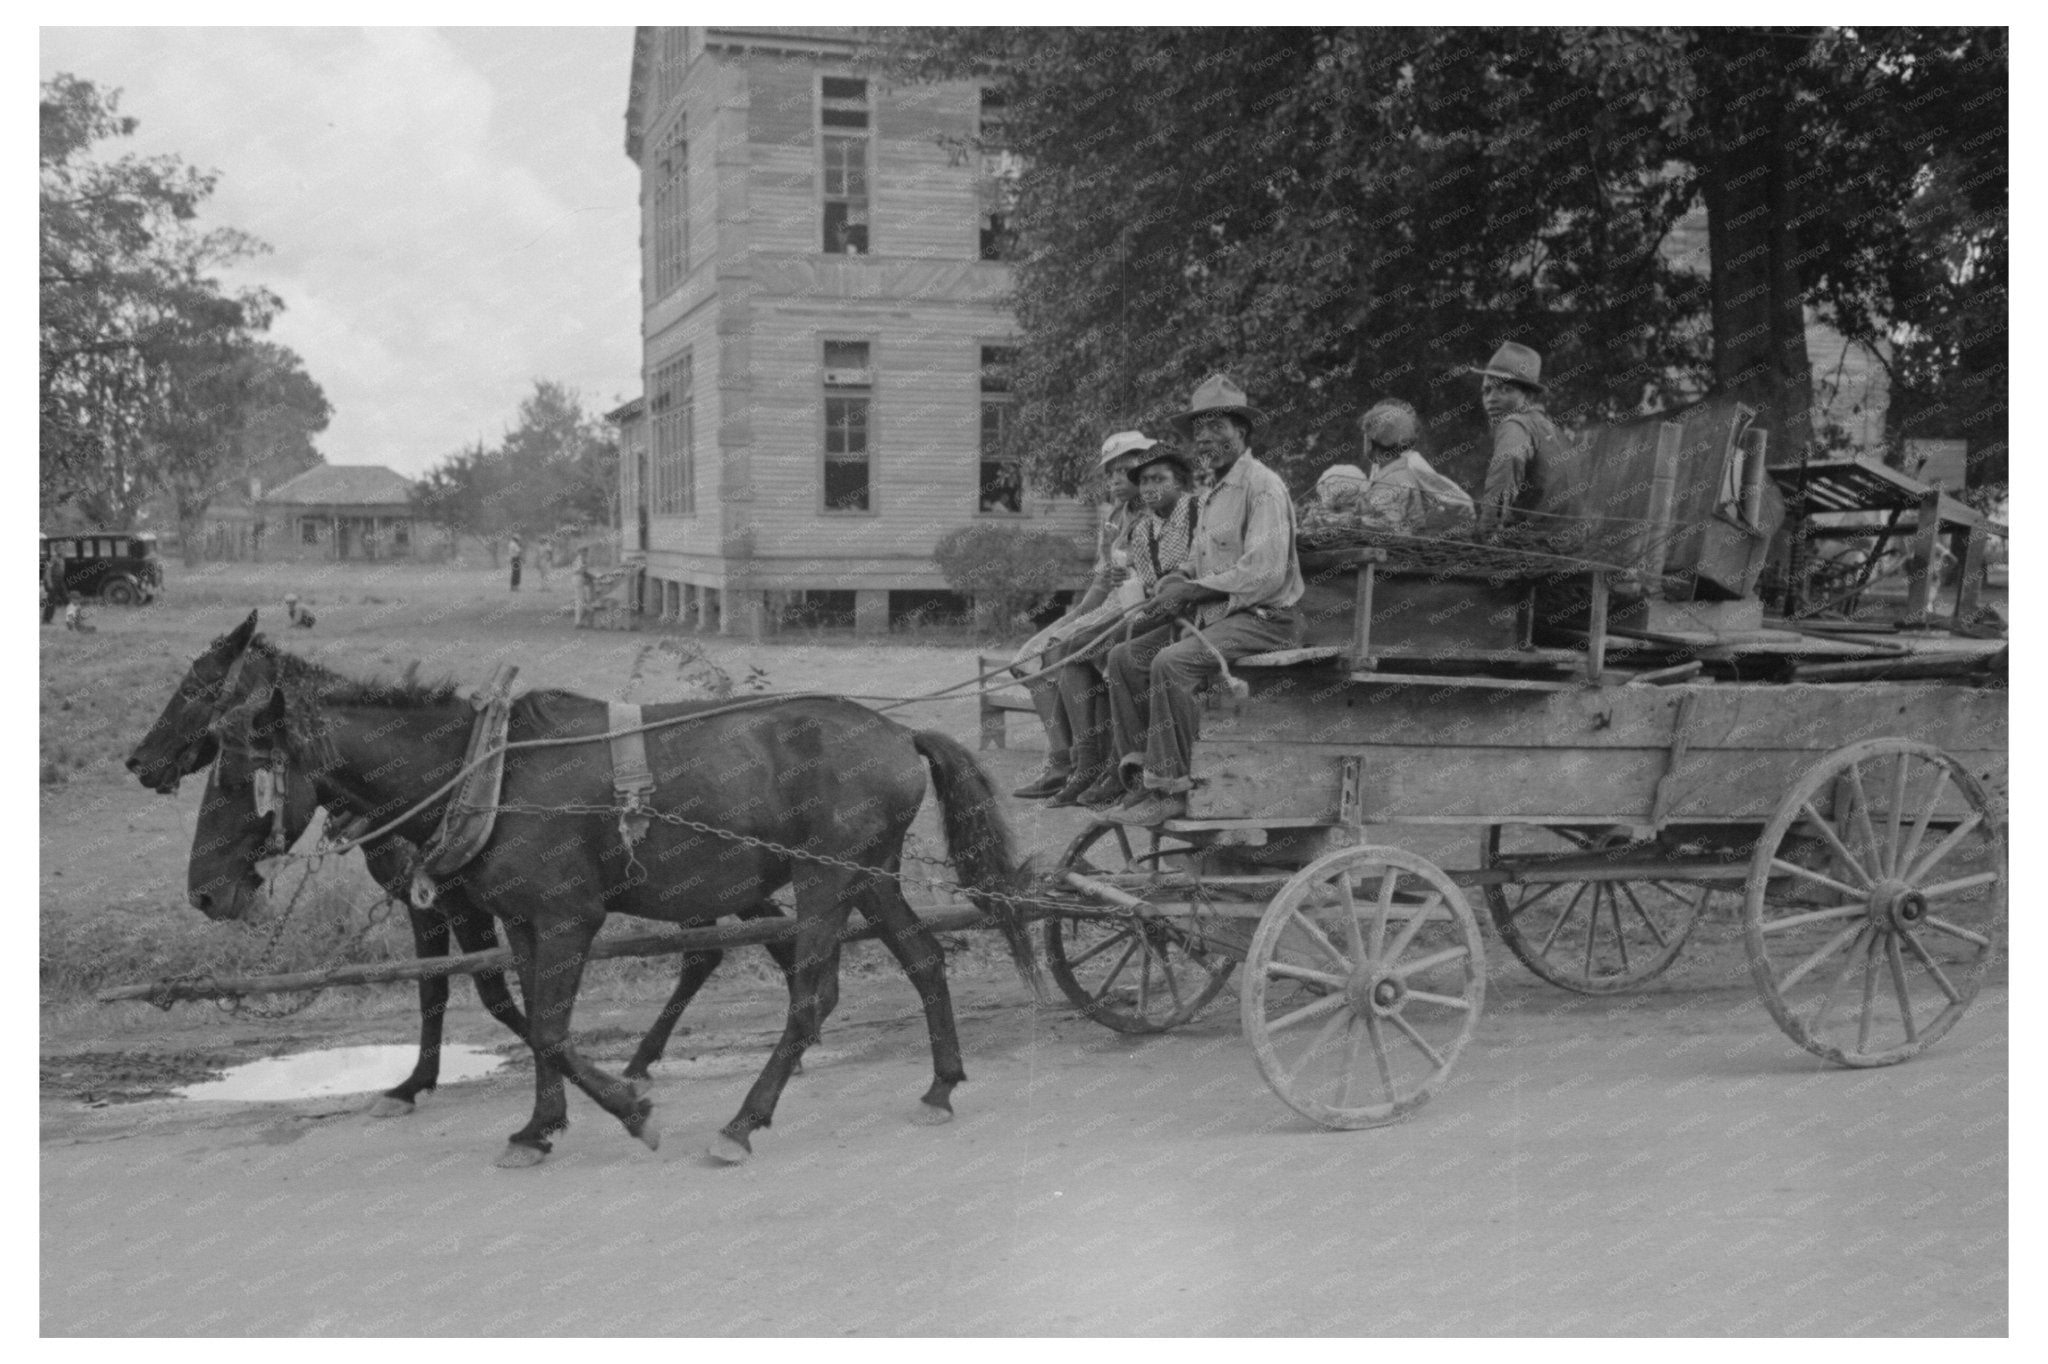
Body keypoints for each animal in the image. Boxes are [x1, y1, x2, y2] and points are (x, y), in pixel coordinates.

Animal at [123, 614, 1040, 1155]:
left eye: (235, 775)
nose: (205, 892)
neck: (479, 775)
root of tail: (898, 732)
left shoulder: (565, 917)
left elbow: (545, 1026)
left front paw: (623, 1109)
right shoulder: (518, 920)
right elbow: (528, 1017)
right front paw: (541, 1122)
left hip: (824, 879)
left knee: (810, 996)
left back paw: (744, 1119)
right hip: (868, 875)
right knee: (922, 959)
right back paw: (939, 1085)